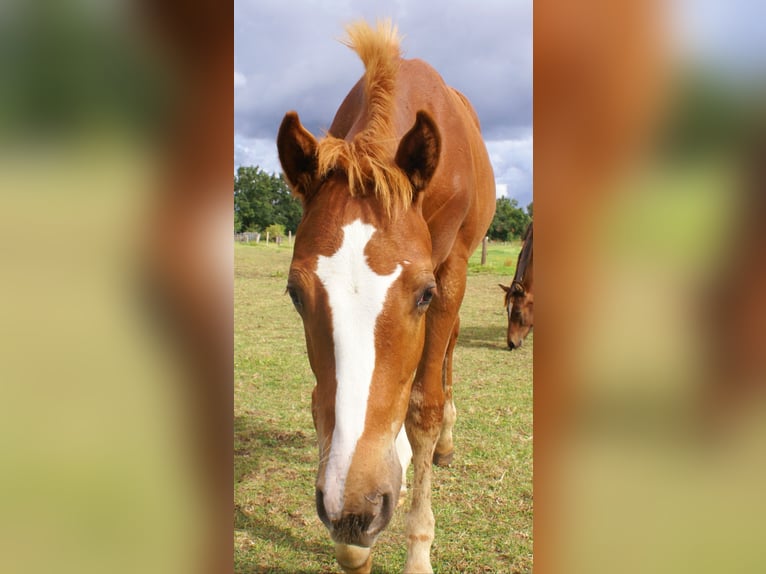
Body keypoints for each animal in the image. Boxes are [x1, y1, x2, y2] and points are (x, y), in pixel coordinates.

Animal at [277, 20, 496, 574]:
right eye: (294, 294)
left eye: (423, 294)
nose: (353, 507)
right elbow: (327, 406)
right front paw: (354, 546)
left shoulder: (449, 274)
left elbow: (423, 409)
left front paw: (417, 550)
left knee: (446, 355)